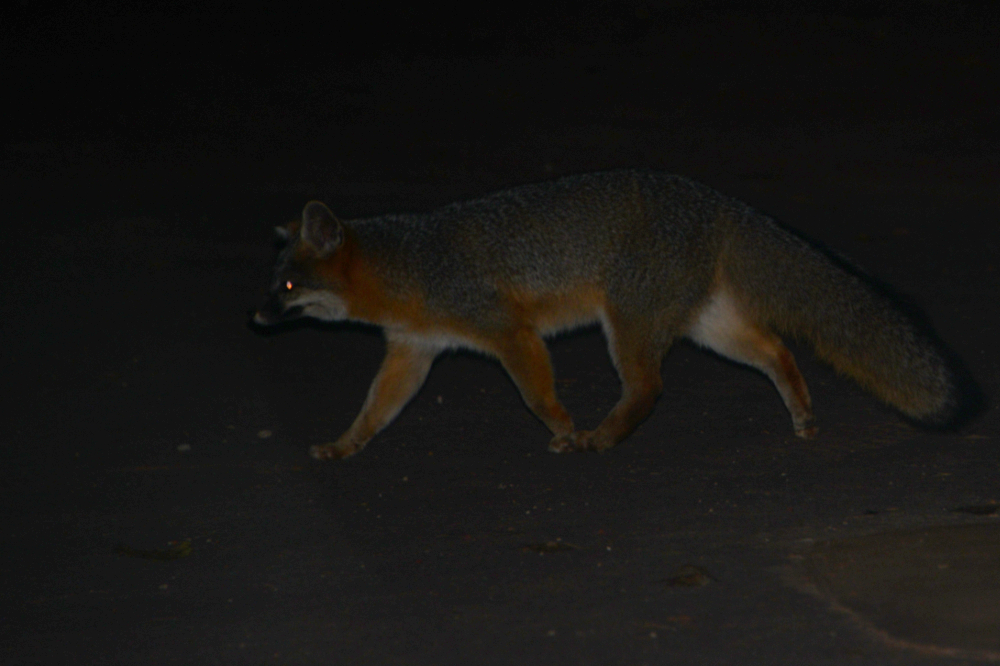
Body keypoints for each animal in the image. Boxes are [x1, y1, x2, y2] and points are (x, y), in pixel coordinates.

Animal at [253, 169, 959, 460]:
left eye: (285, 284)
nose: (254, 317)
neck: (412, 267)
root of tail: (715, 198)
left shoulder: (510, 333)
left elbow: (537, 395)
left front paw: (566, 431)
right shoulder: (413, 351)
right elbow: (374, 410)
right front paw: (345, 446)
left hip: (628, 328)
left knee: (648, 388)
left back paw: (603, 437)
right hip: (705, 327)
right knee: (776, 352)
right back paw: (802, 414)